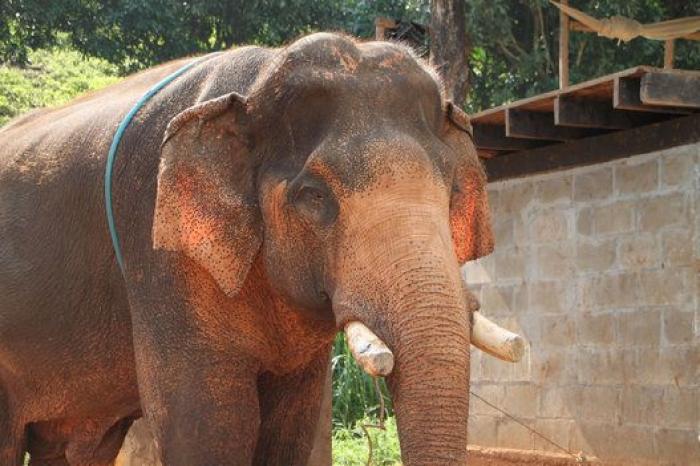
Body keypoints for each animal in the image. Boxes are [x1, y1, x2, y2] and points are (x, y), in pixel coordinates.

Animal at [0, 32, 517, 465]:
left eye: (450, 193)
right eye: (314, 196)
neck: (255, 84)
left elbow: (288, 426)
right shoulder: (160, 252)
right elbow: (207, 424)